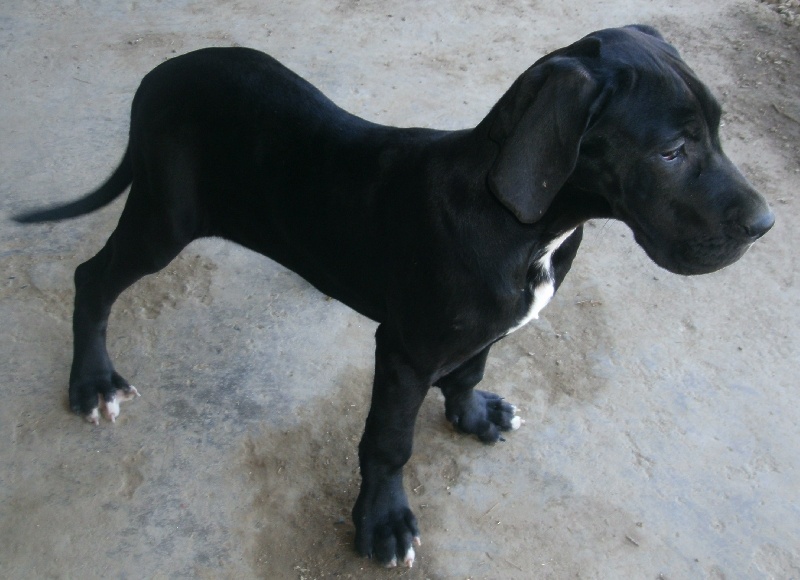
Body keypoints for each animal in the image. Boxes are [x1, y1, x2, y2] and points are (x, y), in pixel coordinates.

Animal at [15, 25, 774, 567]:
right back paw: (92, 383)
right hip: (164, 220)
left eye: (719, 129)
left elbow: (470, 369)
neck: (526, 228)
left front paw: (474, 414)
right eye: (671, 151)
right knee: (91, 280)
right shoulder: (405, 351)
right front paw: (382, 525)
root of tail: (157, 76)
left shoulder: (481, 331)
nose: (766, 225)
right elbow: (389, 442)